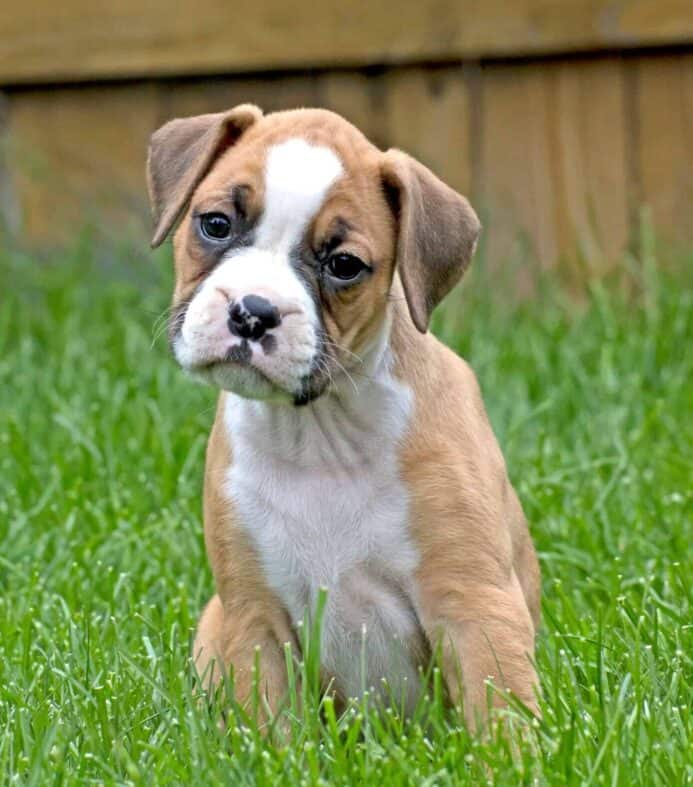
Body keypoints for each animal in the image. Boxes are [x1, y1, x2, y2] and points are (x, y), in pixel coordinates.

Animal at [146, 104, 540, 732]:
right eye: (215, 224)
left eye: (344, 265)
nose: (252, 313)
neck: (321, 433)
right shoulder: (254, 617)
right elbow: (273, 730)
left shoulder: (474, 603)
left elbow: (502, 717)